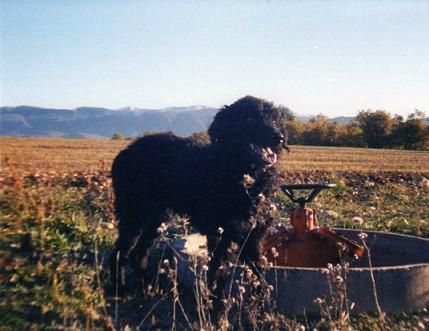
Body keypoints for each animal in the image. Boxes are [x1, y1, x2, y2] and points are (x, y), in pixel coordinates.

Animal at [110, 96, 290, 294]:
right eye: (249, 118)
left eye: (275, 120)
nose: (279, 137)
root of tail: (124, 153)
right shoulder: (219, 235)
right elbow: (218, 273)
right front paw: (216, 301)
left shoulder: (252, 237)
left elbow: (258, 272)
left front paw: (262, 299)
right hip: (135, 216)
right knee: (120, 253)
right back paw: (120, 289)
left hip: (156, 220)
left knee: (138, 253)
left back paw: (148, 287)